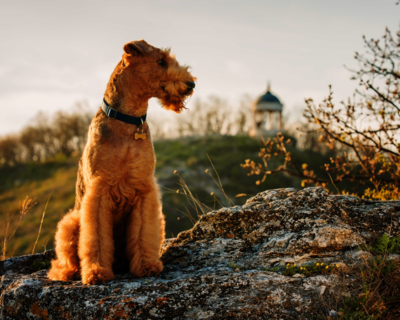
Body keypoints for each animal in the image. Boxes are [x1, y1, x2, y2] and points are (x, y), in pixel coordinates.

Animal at [47, 40, 196, 284]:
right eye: (160, 61)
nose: (191, 83)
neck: (129, 122)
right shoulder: (99, 190)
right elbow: (95, 237)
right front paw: (96, 272)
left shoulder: (144, 188)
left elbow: (143, 233)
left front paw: (146, 265)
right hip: (70, 222)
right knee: (64, 259)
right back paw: (68, 272)